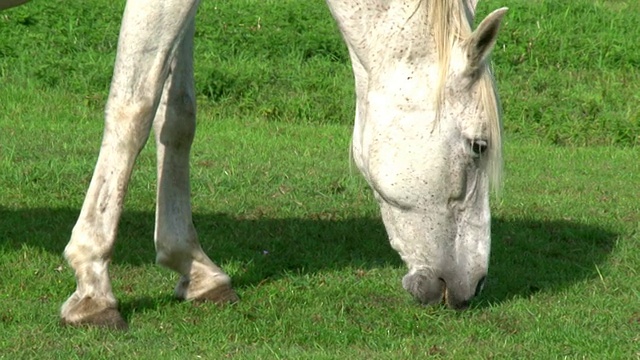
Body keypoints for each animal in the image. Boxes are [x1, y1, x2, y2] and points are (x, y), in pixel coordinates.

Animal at [2, 0, 508, 330]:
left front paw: (194, 268)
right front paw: (93, 287)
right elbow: (134, 108)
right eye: (479, 146)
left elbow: (177, 115)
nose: (473, 285)